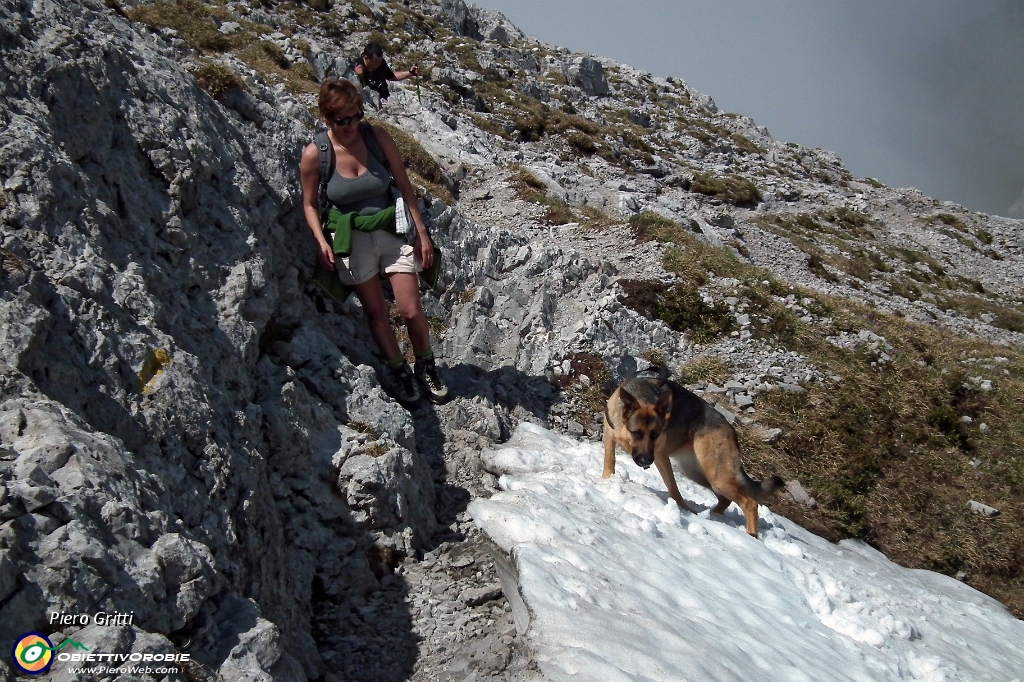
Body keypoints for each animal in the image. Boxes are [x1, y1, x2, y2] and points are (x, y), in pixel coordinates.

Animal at [598, 374, 782, 532]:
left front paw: (683, 509)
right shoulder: (610, 436)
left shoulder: (660, 455)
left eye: (655, 434)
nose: (645, 462)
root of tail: (732, 431)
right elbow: (609, 460)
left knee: (750, 503)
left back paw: (751, 534)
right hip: (699, 474)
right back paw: (711, 515)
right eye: (636, 433)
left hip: (717, 476)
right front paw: (606, 480)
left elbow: (673, 486)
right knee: (726, 499)